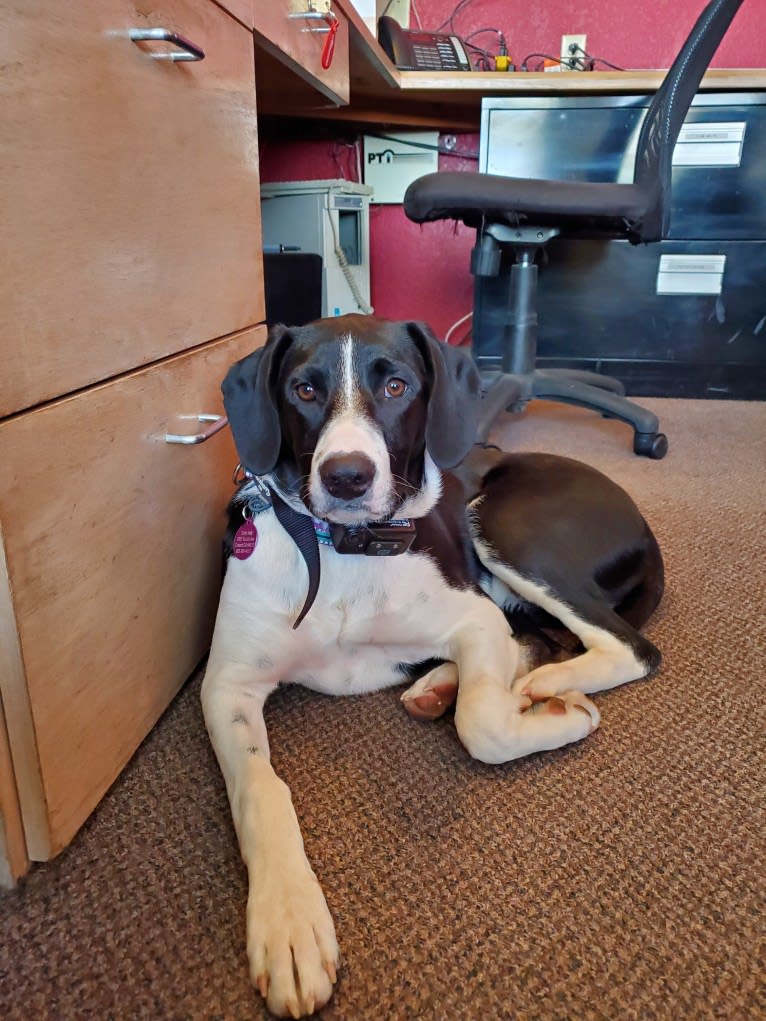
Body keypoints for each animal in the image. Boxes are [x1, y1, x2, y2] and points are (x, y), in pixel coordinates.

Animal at [201, 314, 661, 1016]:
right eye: (304, 390)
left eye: (396, 385)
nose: (346, 476)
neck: (344, 551)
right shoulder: (227, 682)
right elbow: (261, 788)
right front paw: (287, 921)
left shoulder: (472, 617)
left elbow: (485, 726)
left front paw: (556, 718)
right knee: (535, 638)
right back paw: (450, 684)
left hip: (507, 526)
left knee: (625, 647)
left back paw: (543, 687)